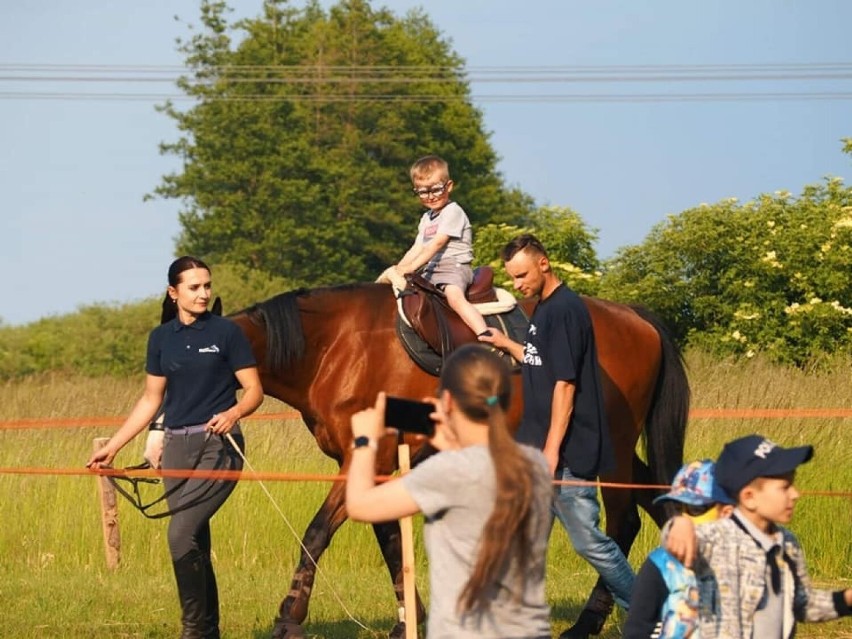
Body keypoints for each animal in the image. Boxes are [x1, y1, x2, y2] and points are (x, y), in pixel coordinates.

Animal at [230, 284, 688, 639]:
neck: (340, 347)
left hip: (611, 449)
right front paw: (409, 619)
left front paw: (289, 617)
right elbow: (390, 540)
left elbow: (317, 532)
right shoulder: (377, 467)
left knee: (624, 521)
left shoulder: (372, 459)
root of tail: (632, 316)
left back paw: (587, 622)